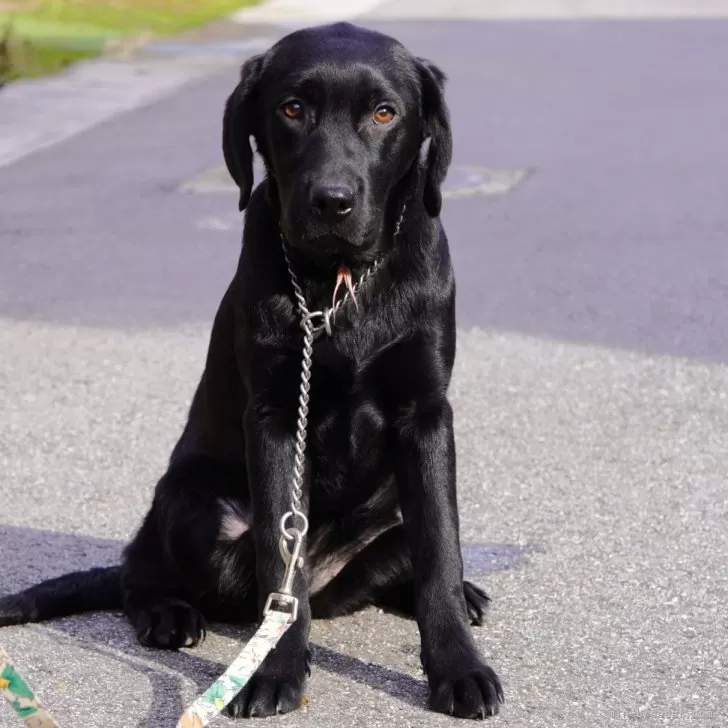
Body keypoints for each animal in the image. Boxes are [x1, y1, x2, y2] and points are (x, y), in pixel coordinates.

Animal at [0, 21, 504, 716]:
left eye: (384, 113)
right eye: (292, 109)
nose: (332, 202)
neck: (337, 284)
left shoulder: (425, 414)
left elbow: (440, 552)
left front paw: (458, 667)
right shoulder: (273, 416)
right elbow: (276, 553)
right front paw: (274, 670)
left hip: (388, 515)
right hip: (192, 505)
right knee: (141, 573)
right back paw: (167, 614)